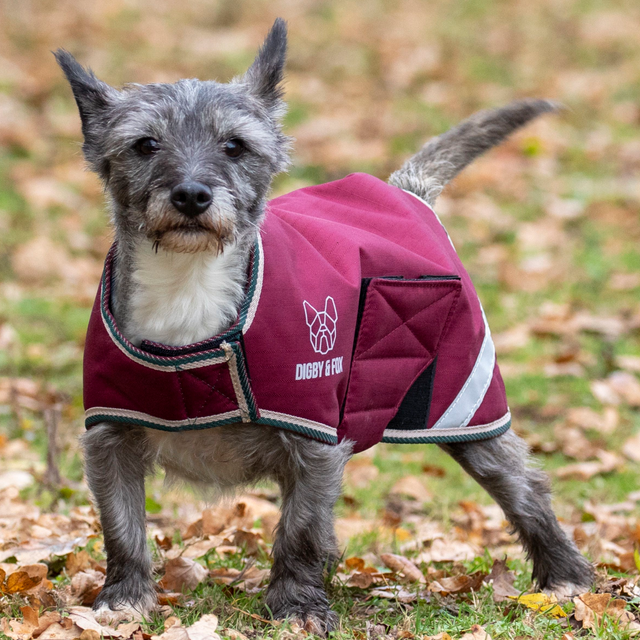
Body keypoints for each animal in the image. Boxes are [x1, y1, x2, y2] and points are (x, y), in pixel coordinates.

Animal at [56, 17, 596, 632]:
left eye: (234, 145)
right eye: (145, 144)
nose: (192, 195)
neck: (189, 290)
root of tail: (406, 193)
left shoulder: (313, 443)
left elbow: (299, 530)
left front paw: (295, 605)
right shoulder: (111, 441)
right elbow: (123, 528)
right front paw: (123, 600)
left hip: (465, 408)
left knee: (525, 487)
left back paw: (565, 577)